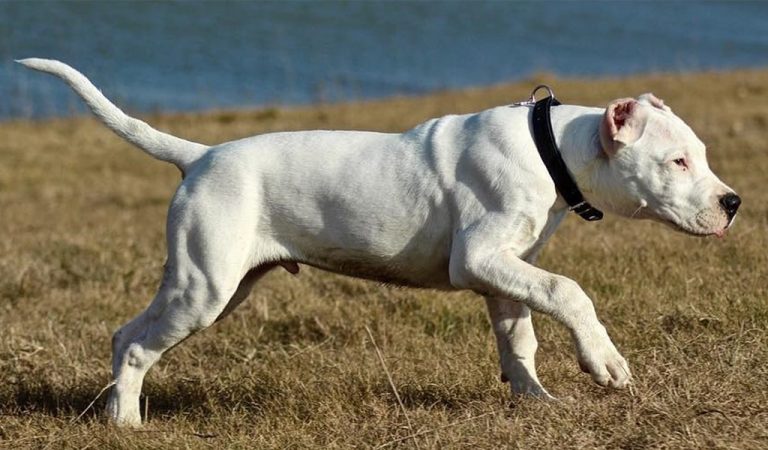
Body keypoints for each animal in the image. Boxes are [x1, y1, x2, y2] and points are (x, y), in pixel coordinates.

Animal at [19, 59, 736, 426]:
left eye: (700, 155)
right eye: (676, 163)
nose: (732, 203)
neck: (552, 148)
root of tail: (199, 157)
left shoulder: (505, 271)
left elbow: (520, 335)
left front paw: (536, 400)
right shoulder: (481, 258)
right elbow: (571, 291)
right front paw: (605, 364)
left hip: (219, 286)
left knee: (125, 333)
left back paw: (118, 413)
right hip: (204, 287)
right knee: (138, 343)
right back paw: (128, 423)